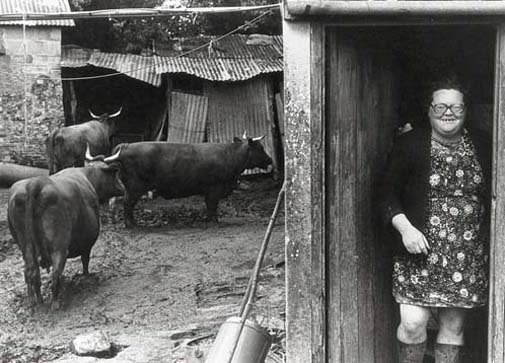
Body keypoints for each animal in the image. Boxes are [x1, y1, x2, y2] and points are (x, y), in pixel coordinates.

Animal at [8, 145, 124, 310]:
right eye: (115, 174)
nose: (123, 188)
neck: (87, 176)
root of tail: (35, 183)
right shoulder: (88, 240)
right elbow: (85, 259)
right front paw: (86, 276)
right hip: (59, 246)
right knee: (56, 271)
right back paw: (56, 303)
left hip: (26, 246)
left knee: (30, 271)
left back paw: (35, 301)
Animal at [112, 134, 274, 228]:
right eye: (260, 148)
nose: (270, 159)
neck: (230, 155)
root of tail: (126, 145)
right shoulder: (215, 189)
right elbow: (212, 206)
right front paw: (214, 221)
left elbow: (210, 206)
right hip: (134, 188)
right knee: (127, 204)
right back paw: (131, 224)